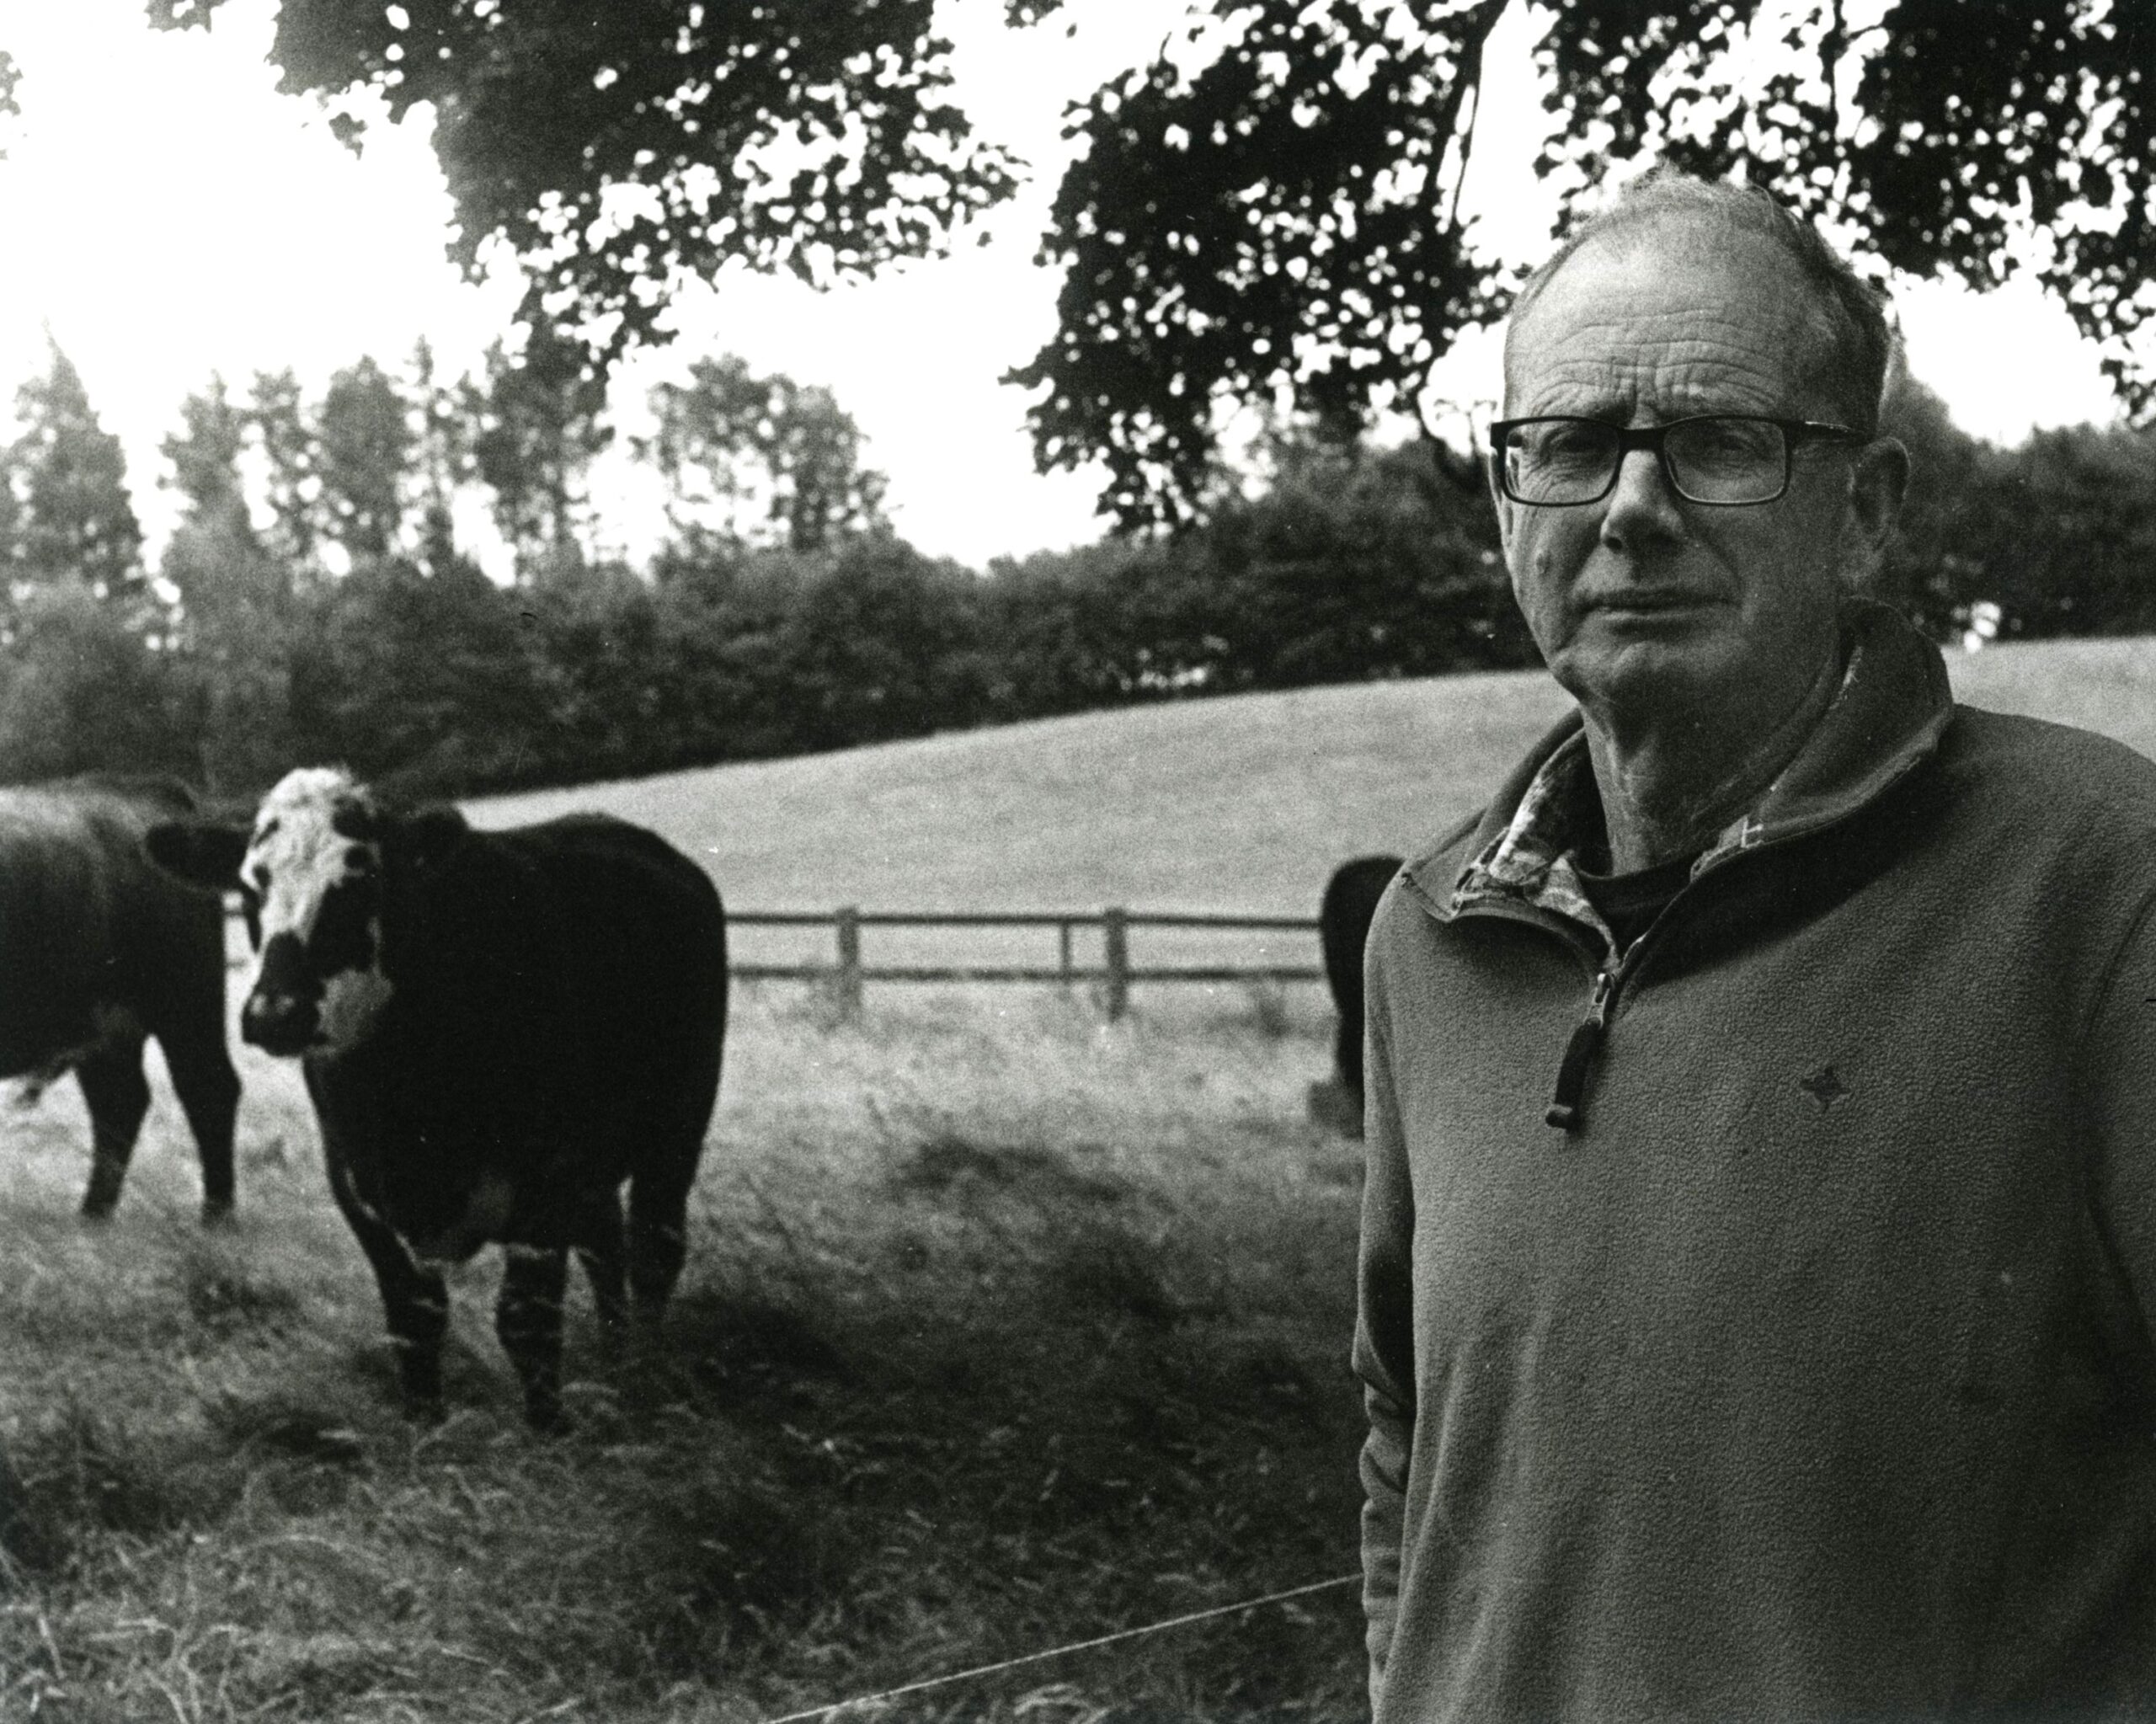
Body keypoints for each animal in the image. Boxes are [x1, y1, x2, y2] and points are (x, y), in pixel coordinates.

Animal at [0, 776, 240, 1215]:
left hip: (184, 1005)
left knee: (207, 1088)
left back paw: (216, 1214)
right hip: (102, 1027)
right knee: (119, 1102)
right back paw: (93, 1213)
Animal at [149, 766, 733, 1431]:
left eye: (362, 880)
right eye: (250, 889)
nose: (276, 1011)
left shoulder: (545, 1181)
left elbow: (527, 1322)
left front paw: (552, 1434)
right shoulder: (359, 1190)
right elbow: (413, 1323)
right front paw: (425, 1435)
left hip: (679, 1123)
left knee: (654, 1248)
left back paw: (642, 1372)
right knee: (604, 1247)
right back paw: (615, 1361)